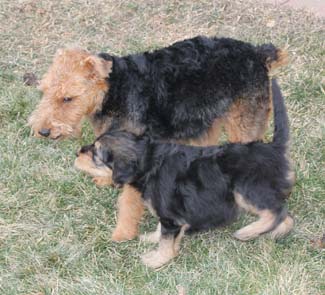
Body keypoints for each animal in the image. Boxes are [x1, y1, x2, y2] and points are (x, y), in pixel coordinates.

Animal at [76, 80, 294, 268]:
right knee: (285, 216)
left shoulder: (170, 217)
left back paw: (248, 232)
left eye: (96, 154)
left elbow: (166, 241)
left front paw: (156, 260)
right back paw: (270, 233)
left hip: (247, 190)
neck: (147, 161)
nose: (78, 152)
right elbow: (162, 231)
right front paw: (152, 239)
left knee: (277, 211)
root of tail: (274, 148)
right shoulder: (170, 213)